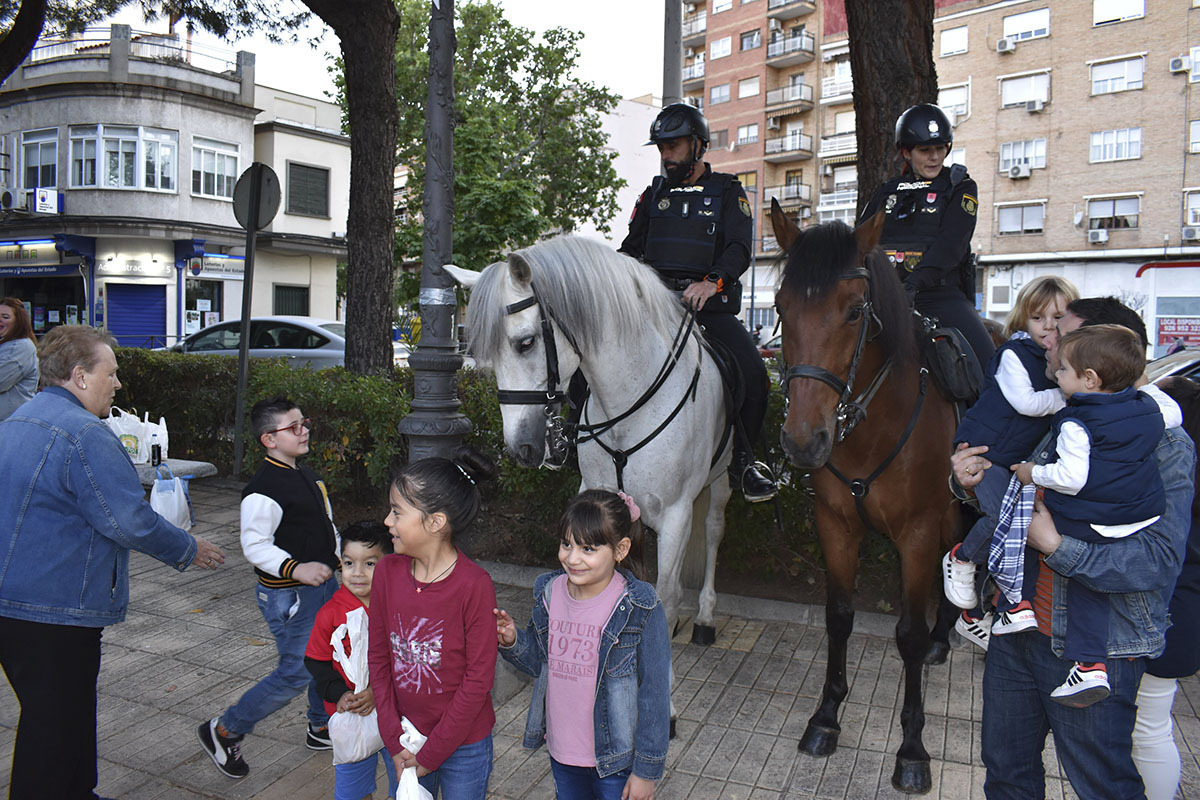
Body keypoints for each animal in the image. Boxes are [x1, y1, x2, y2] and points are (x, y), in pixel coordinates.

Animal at [448, 235, 734, 647]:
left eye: (526, 343)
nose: (520, 448)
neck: (630, 405)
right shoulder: (594, 498)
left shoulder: (677, 514)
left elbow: (666, 596)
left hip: (722, 478)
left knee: (713, 531)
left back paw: (706, 615)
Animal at [772, 201, 960, 796]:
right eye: (780, 307)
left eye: (855, 311)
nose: (803, 441)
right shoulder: (834, 524)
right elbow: (839, 617)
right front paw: (826, 716)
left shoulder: (917, 533)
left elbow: (908, 633)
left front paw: (912, 747)